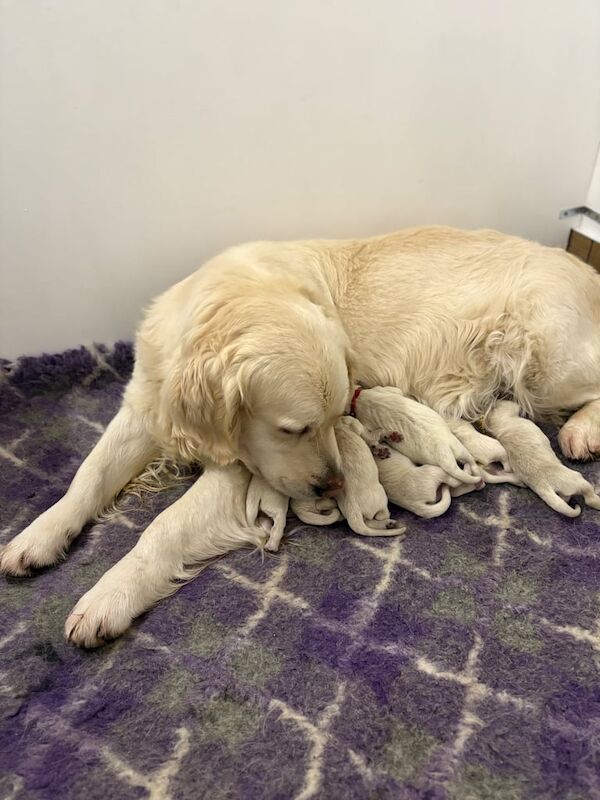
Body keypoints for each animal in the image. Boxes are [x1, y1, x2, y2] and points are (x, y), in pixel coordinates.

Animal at [1, 225, 600, 580]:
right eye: (294, 429)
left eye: (333, 421)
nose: (334, 486)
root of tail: (586, 268)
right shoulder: (144, 408)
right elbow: (87, 477)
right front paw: (38, 537)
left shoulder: (240, 467)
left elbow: (163, 528)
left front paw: (107, 600)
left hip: (549, 363)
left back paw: (581, 432)